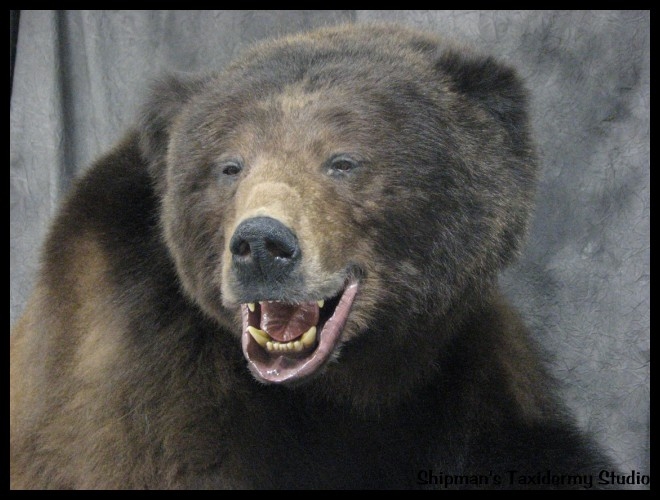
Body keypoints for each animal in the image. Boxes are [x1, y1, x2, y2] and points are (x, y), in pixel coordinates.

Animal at [10, 24, 616, 489]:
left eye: (343, 160)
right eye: (229, 165)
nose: (262, 244)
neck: (340, 389)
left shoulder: (458, 369)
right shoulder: (136, 375)